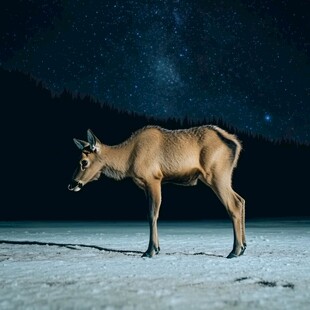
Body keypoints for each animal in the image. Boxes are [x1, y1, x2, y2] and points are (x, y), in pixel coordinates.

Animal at [68, 124, 247, 258]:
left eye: (84, 162)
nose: (72, 184)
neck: (127, 161)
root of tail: (236, 144)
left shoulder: (153, 179)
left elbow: (152, 214)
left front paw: (150, 250)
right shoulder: (146, 186)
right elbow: (150, 213)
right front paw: (156, 248)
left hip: (216, 175)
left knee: (234, 204)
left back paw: (235, 250)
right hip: (223, 177)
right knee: (241, 200)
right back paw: (244, 246)